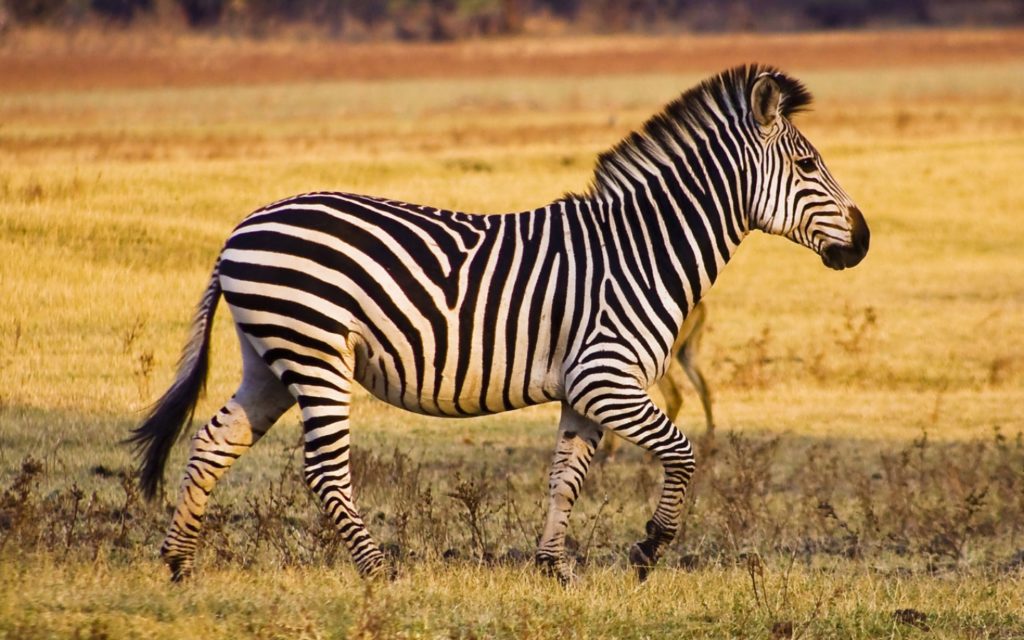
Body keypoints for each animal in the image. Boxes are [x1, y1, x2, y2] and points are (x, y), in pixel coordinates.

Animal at [129, 64, 869, 585]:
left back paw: (178, 563)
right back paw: (377, 571)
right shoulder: (607, 377)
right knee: (324, 470)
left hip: (270, 358)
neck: (644, 250)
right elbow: (683, 453)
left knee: (214, 441)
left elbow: (565, 476)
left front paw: (555, 568)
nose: (862, 242)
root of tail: (240, 230)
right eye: (808, 165)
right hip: (314, 353)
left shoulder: (583, 389)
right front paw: (648, 549)